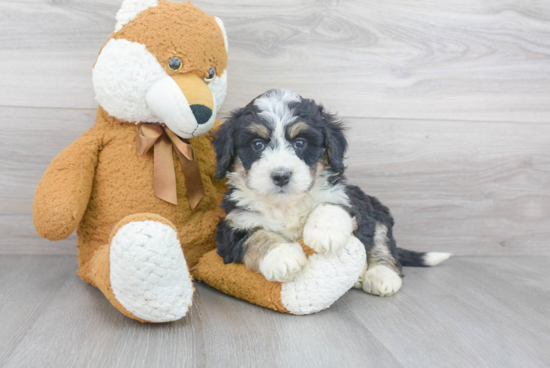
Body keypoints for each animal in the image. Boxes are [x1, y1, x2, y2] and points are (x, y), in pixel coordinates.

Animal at [213, 89, 450, 296]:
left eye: (300, 143)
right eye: (257, 145)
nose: (281, 176)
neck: (286, 204)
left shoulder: (348, 199)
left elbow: (330, 204)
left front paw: (325, 233)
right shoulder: (234, 224)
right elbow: (258, 236)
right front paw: (282, 256)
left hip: (378, 213)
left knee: (383, 245)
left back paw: (381, 276)